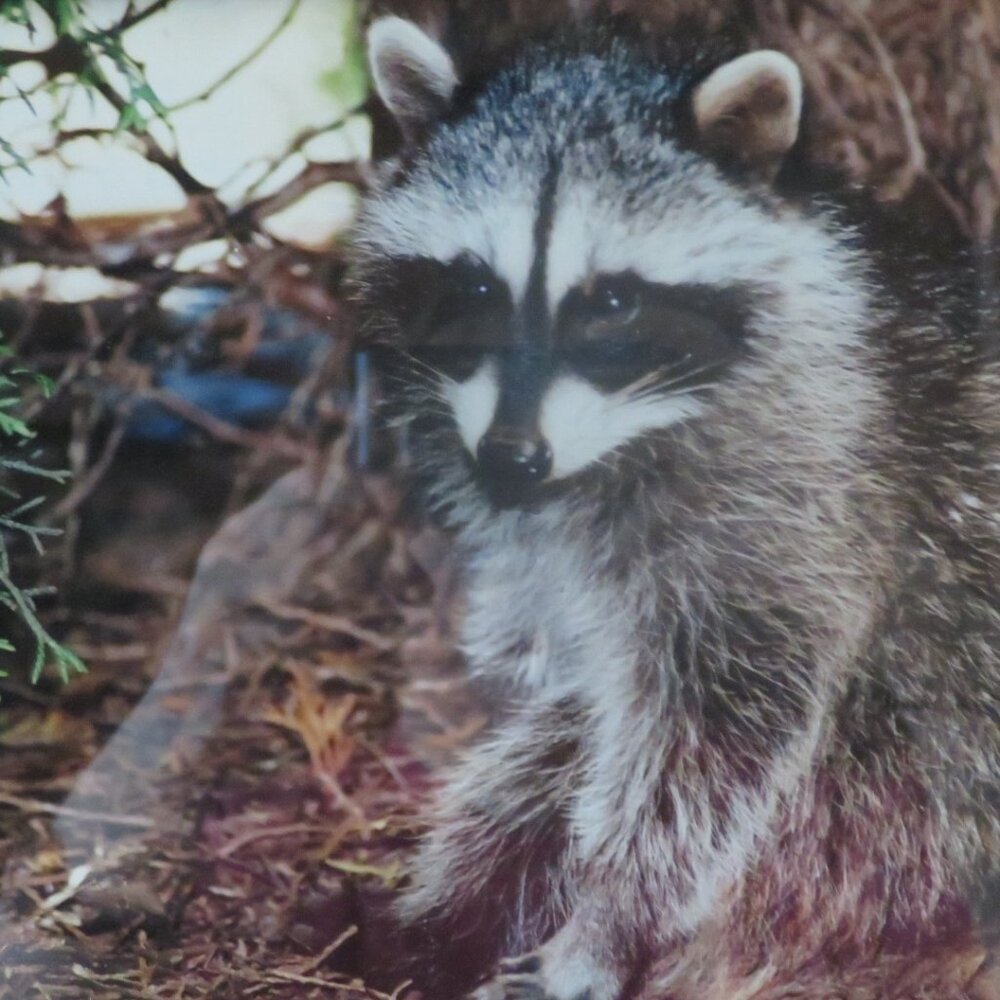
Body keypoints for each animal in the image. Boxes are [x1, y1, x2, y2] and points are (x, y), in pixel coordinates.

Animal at [349, 15, 1000, 1000]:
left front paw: (611, 915)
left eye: (613, 302)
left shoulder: (799, 488)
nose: (509, 460)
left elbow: (717, 734)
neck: (625, 435)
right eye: (476, 289)